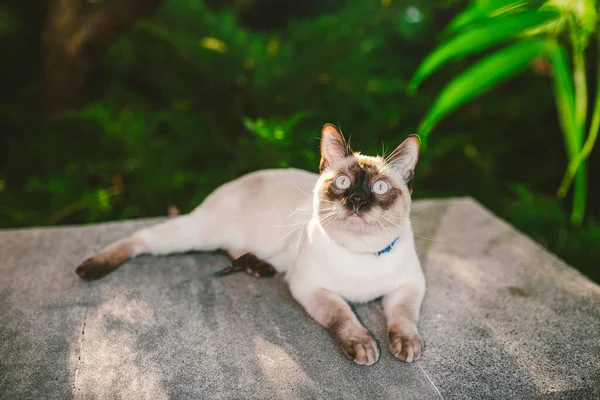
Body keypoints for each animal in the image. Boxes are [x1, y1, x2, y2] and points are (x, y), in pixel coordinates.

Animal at [75, 124, 424, 366]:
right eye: (342, 183)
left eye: (379, 188)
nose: (356, 201)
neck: (360, 253)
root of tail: (237, 180)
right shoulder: (311, 288)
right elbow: (344, 318)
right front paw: (364, 347)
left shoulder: (410, 286)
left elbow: (404, 318)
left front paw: (408, 347)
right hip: (197, 234)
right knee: (141, 238)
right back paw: (90, 268)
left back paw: (257, 265)